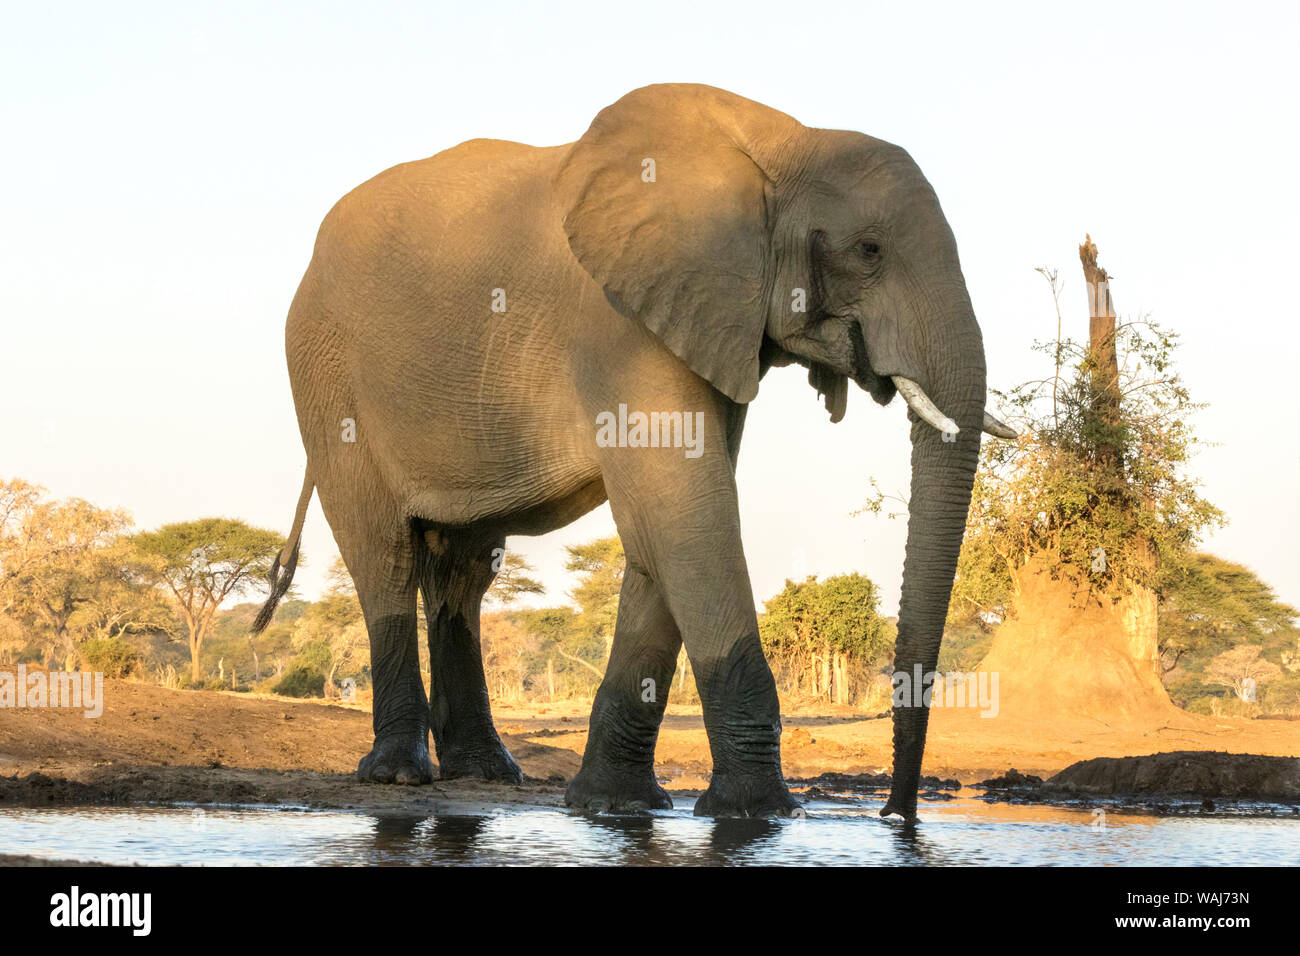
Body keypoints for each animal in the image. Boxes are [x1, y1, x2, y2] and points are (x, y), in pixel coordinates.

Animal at [250, 83, 1013, 822]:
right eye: (869, 252)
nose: (896, 815)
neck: (782, 141)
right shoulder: (622, 326)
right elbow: (687, 515)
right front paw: (758, 815)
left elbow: (664, 529)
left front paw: (613, 806)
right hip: (327, 372)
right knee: (384, 557)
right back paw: (399, 777)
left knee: (461, 570)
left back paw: (487, 772)